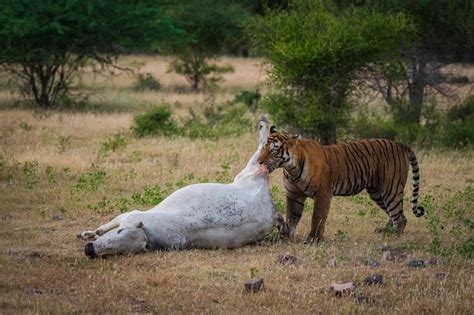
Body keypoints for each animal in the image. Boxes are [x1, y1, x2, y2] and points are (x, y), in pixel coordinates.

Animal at [77, 117, 278, 258]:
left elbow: (102, 228)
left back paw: (263, 123)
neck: (149, 233)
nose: (90, 250)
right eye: (119, 234)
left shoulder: (130, 214)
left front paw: (87, 234)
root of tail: (264, 191)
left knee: (261, 144)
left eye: (124, 248)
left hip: (250, 167)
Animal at [258, 126, 424, 244]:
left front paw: (313, 239)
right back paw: (386, 231)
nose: (259, 161)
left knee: (400, 217)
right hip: (377, 192)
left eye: (273, 150)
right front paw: (287, 238)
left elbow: (317, 217)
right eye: (263, 147)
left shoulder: (323, 193)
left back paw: (394, 236)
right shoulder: (294, 194)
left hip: (390, 188)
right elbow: (292, 216)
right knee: (394, 213)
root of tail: (401, 145)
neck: (290, 168)